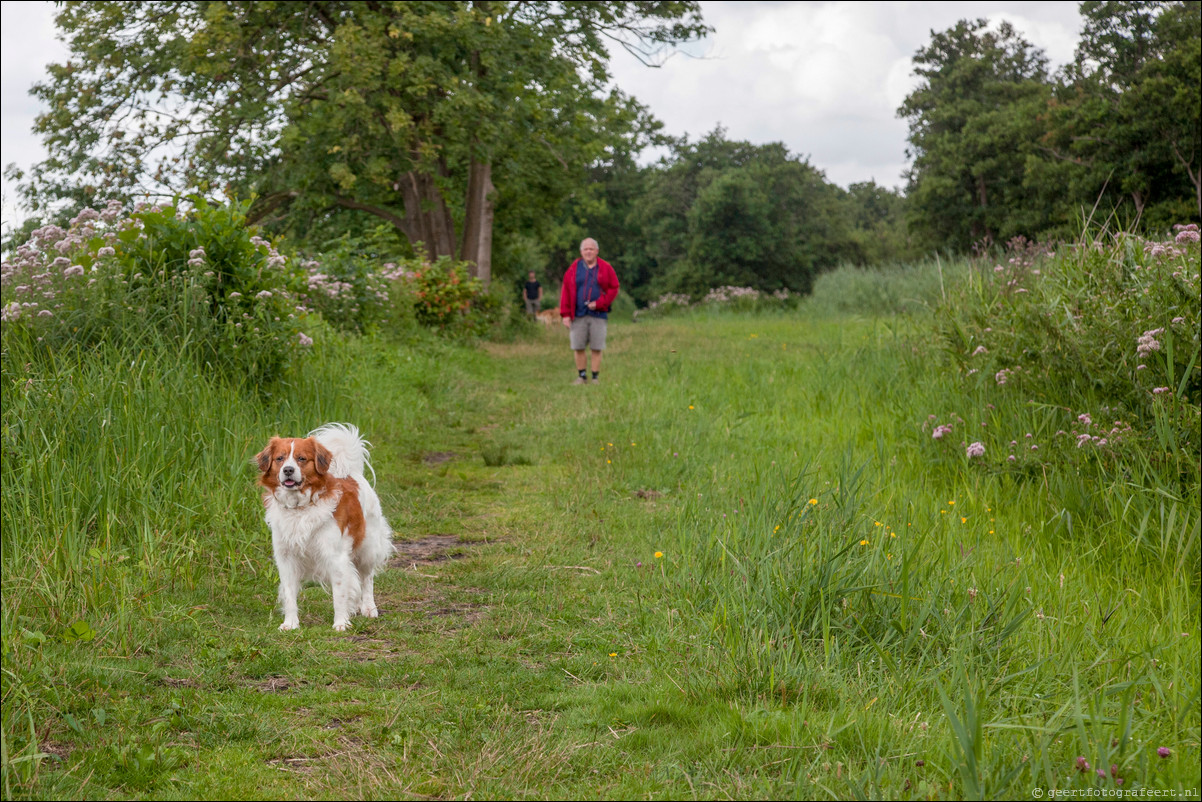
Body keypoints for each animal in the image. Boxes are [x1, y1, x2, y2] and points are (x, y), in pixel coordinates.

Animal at [254, 423, 394, 630]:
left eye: (301, 458)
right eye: (279, 458)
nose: (288, 470)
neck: (299, 508)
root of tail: (353, 473)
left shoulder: (335, 557)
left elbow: (340, 595)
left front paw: (341, 623)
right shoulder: (286, 558)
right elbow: (289, 594)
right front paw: (290, 623)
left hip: (367, 547)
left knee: (367, 578)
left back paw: (369, 608)